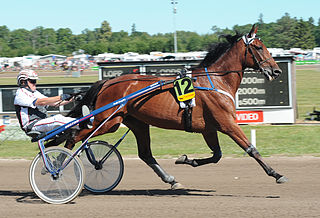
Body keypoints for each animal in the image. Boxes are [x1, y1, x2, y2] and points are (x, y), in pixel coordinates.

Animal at [67, 25, 288, 189]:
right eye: (258, 48)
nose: (276, 70)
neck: (216, 81)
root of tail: (107, 82)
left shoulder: (209, 128)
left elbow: (217, 155)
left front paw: (186, 159)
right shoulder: (226, 123)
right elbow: (251, 149)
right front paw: (276, 173)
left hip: (136, 123)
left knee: (145, 154)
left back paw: (171, 180)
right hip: (108, 121)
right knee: (74, 136)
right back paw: (62, 166)